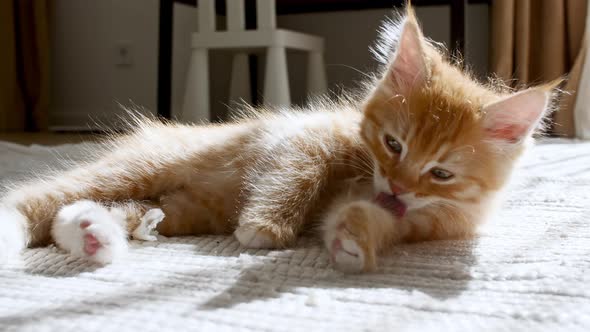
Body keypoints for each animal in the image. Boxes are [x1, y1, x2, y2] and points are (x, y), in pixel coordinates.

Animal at [0, 7, 556, 272]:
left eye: (440, 173)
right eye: (393, 145)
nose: (397, 186)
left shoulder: (417, 220)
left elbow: (370, 221)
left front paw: (353, 242)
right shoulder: (302, 139)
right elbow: (299, 173)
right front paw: (266, 227)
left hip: (170, 203)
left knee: (82, 215)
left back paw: (92, 233)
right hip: (147, 165)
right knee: (39, 198)